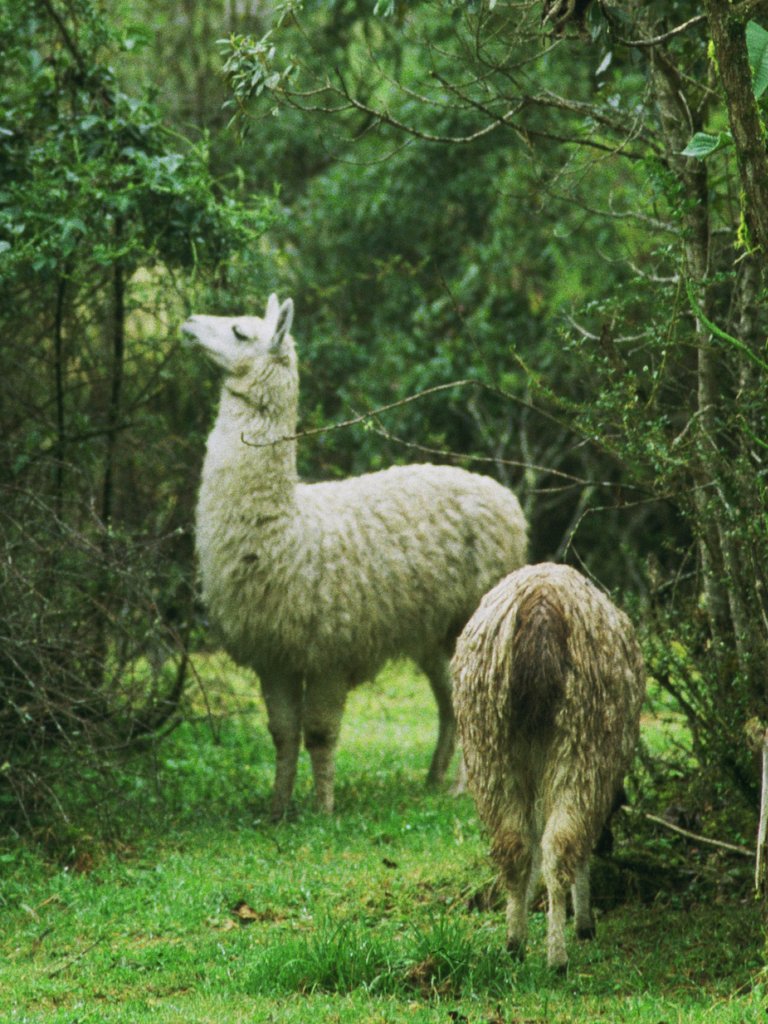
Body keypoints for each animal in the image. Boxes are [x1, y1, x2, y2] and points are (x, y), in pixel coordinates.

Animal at [181, 294, 528, 819]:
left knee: (476, 698)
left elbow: (320, 734)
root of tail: (505, 496)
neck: (286, 532)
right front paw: (277, 809)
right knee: (449, 699)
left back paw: (462, 789)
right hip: (433, 629)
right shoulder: (273, 653)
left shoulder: (330, 647)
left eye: (240, 331)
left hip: (474, 615)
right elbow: (282, 734)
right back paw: (435, 779)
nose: (188, 323)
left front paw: (323, 808)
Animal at [452, 562, 645, 970]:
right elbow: (575, 848)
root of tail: (541, 609)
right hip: (582, 742)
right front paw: (584, 923)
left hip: (490, 746)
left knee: (515, 847)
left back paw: (515, 942)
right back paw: (557, 956)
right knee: (561, 846)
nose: (609, 844)